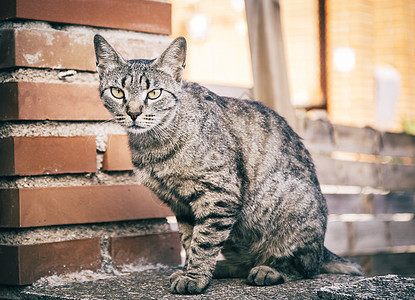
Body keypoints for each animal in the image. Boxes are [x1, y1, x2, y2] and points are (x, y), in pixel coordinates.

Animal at [93, 34, 360, 294]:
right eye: (117, 92)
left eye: (154, 93)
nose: (133, 113)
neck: (153, 144)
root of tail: (323, 248)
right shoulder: (181, 205)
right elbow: (190, 240)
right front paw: (191, 271)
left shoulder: (218, 195)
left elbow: (204, 242)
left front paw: (194, 278)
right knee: (246, 263)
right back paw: (223, 268)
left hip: (295, 206)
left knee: (304, 267)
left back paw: (269, 270)